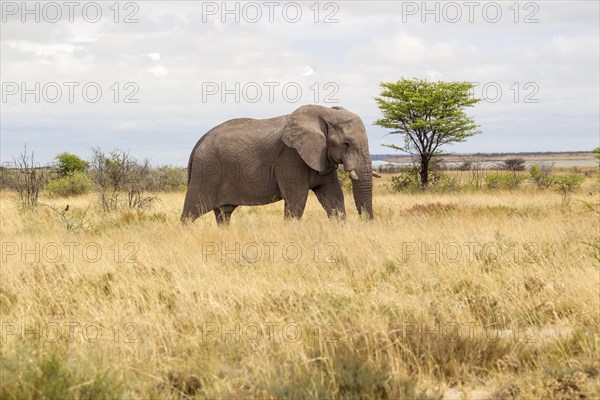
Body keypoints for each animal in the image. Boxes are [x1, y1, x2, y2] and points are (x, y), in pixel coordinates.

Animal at [179, 104, 380, 223]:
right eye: (346, 144)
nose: (366, 223)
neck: (325, 112)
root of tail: (198, 143)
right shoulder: (291, 158)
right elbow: (297, 200)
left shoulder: (322, 157)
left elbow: (334, 197)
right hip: (206, 171)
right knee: (191, 212)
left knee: (223, 213)